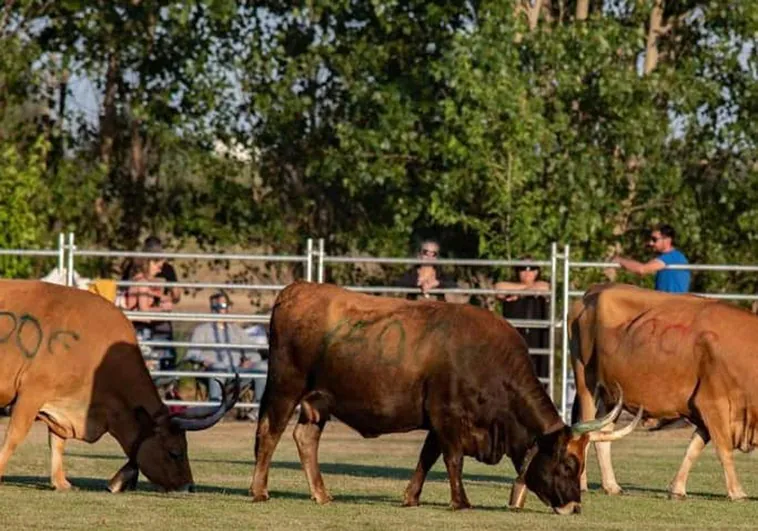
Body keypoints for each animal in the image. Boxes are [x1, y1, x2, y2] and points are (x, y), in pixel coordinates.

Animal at [0, 280, 238, 492]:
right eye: (175, 452)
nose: (189, 486)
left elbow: (57, 442)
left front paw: (60, 482)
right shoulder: (32, 393)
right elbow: (15, 435)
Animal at [251, 282, 640, 516]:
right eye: (569, 465)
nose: (574, 506)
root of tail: (295, 290)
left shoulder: (437, 422)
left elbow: (427, 457)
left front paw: (411, 496)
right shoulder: (448, 416)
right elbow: (453, 459)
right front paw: (461, 500)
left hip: (318, 403)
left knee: (305, 438)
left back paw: (321, 493)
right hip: (285, 388)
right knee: (270, 434)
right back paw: (259, 490)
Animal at [572, 284, 758, 500]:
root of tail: (592, 292)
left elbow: (693, 448)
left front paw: (677, 488)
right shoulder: (713, 403)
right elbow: (724, 449)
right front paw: (737, 491)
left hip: (611, 397)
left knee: (603, 435)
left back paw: (611, 485)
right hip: (586, 385)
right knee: (584, 433)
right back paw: (581, 483)